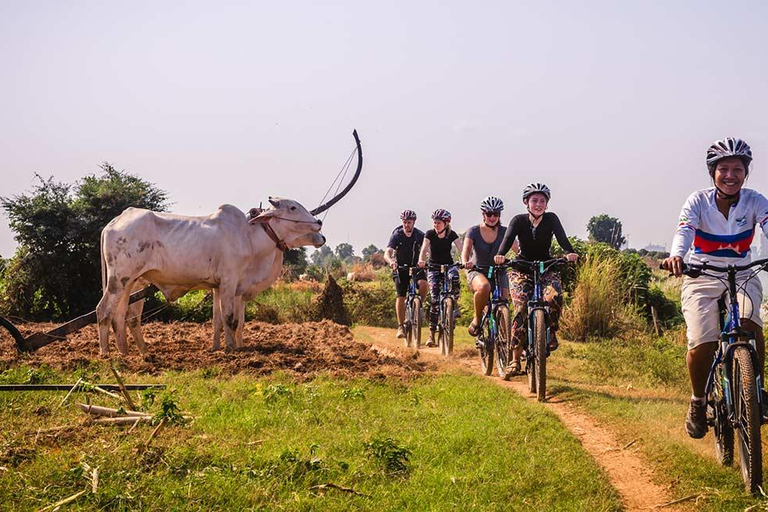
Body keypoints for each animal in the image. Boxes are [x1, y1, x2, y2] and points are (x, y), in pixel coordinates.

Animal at [97, 198, 324, 354]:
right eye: (293, 207)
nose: (319, 223)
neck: (249, 237)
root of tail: (114, 222)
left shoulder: (220, 287)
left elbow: (219, 320)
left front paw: (218, 348)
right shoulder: (230, 282)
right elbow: (230, 318)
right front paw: (231, 349)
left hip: (132, 282)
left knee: (123, 317)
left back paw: (132, 353)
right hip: (119, 280)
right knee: (104, 311)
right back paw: (107, 354)